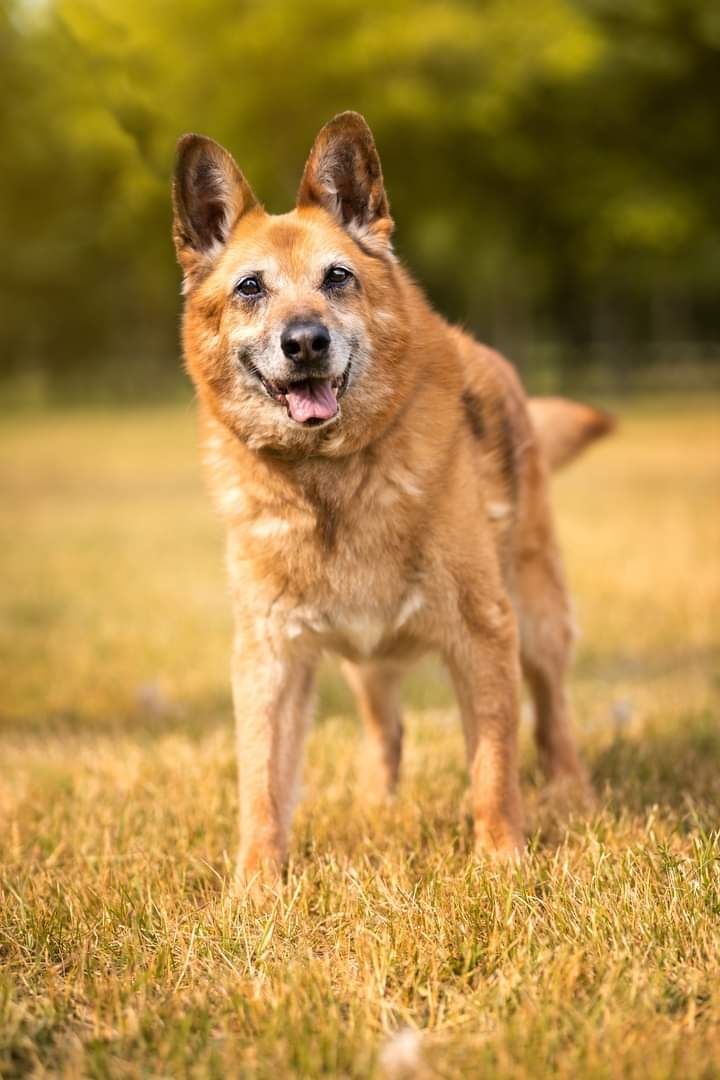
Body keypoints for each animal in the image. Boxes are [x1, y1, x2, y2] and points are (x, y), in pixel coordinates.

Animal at [171, 109, 613, 889]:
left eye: (337, 277)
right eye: (251, 288)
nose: (306, 342)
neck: (332, 475)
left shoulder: (482, 635)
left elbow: (493, 769)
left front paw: (502, 865)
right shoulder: (270, 658)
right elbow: (261, 786)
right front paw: (254, 890)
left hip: (536, 618)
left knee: (552, 712)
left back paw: (570, 795)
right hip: (365, 663)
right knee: (387, 729)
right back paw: (377, 804)